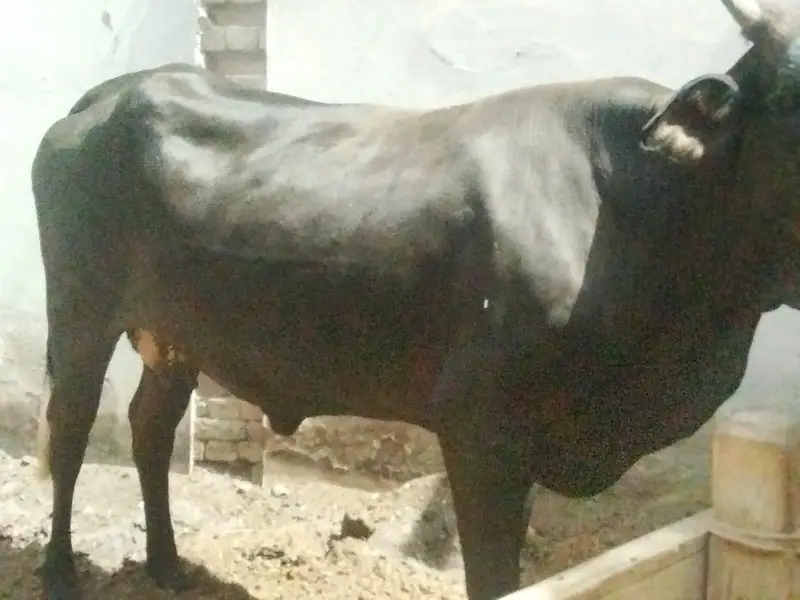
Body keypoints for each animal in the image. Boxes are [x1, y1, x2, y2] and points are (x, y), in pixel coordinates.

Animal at [29, 0, 800, 598]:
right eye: (791, 97)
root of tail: (116, 92)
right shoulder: (482, 426)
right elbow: (492, 572)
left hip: (175, 332)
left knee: (151, 429)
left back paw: (165, 563)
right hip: (80, 310)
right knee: (70, 428)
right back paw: (60, 571)